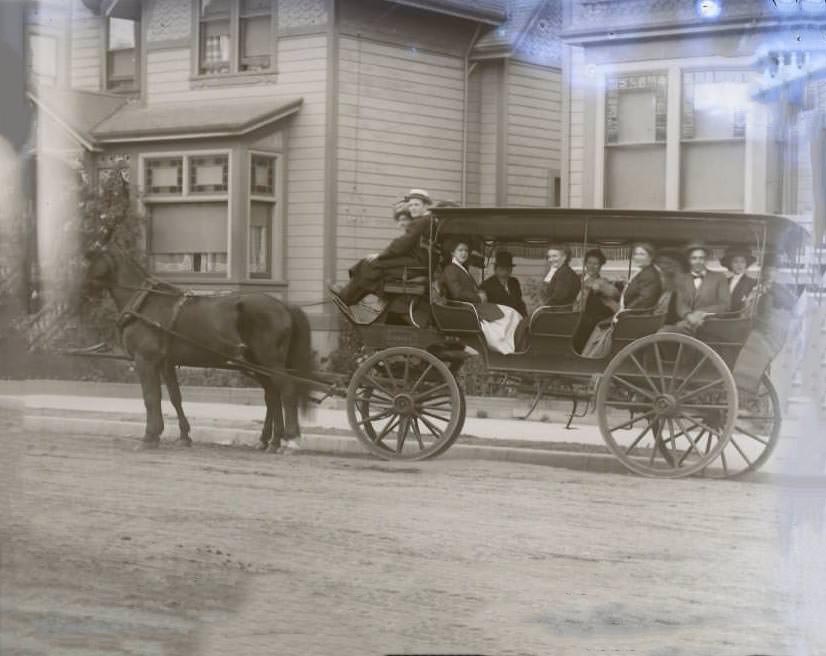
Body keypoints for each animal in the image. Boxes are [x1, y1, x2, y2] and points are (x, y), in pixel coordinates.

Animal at [82, 243, 312, 454]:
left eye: (92, 263)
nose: (86, 293)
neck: (145, 303)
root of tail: (284, 306)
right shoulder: (166, 363)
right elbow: (174, 397)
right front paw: (183, 436)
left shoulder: (145, 360)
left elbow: (150, 398)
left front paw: (149, 436)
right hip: (256, 364)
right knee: (272, 394)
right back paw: (273, 441)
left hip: (270, 362)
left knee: (287, 390)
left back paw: (291, 440)